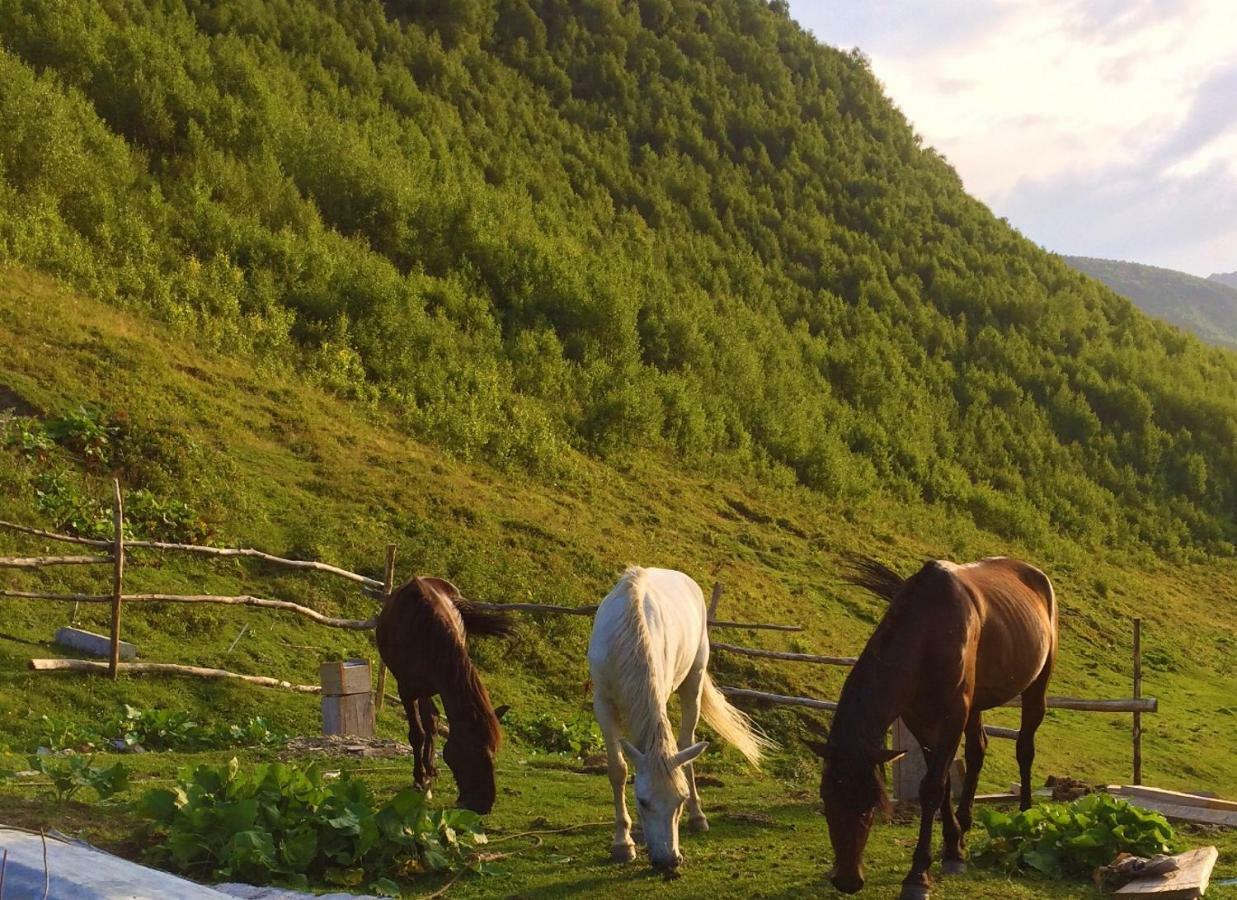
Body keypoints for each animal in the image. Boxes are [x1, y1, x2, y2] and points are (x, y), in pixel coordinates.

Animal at [373, 576, 514, 815]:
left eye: (494, 752)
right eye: (472, 753)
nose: (483, 805)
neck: (425, 633)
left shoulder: (439, 684)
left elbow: (431, 723)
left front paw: (428, 774)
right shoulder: (407, 690)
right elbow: (417, 734)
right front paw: (419, 780)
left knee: (432, 719)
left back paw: (430, 769)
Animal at [586, 568, 771, 870]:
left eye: (680, 800)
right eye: (643, 801)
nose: (668, 861)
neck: (627, 635)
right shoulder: (603, 704)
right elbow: (618, 770)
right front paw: (623, 843)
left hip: (693, 681)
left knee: (686, 743)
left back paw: (698, 819)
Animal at [806, 558, 1058, 895]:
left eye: (871, 803)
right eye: (826, 798)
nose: (847, 879)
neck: (928, 632)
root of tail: (1036, 575)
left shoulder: (953, 715)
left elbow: (932, 787)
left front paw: (918, 875)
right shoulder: (921, 720)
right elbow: (944, 782)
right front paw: (952, 849)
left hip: (1035, 687)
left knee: (1024, 749)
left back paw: (1024, 814)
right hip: (975, 705)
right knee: (977, 752)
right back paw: (965, 825)